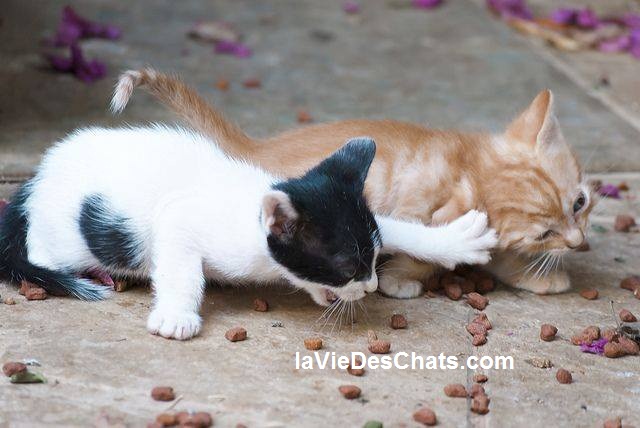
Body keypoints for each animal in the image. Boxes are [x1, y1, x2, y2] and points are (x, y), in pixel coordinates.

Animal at [110, 69, 596, 298]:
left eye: (579, 203)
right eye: (544, 233)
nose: (579, 244)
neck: (467, 163)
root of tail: (253, 147)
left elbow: (497, 254)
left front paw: (532, 275)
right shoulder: (423, 210)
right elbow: (426, 251)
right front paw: (402, 280)